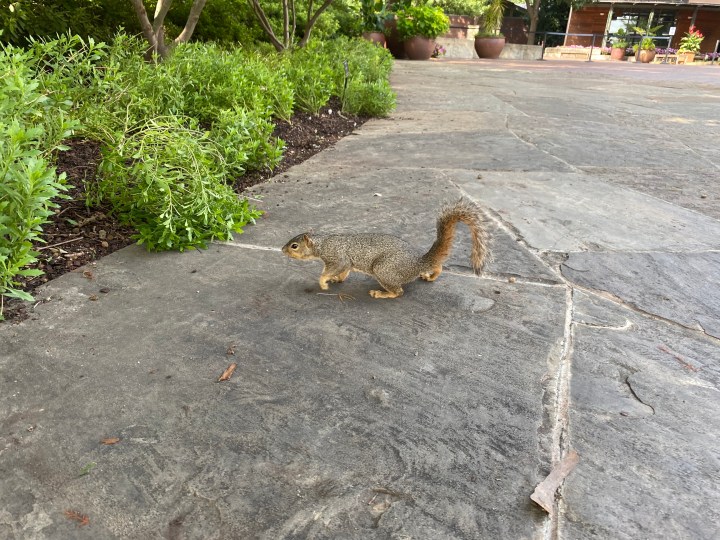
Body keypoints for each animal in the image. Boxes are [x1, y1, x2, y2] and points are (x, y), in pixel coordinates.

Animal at [281, 198, 489, 299]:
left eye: (294, 246)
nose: (282, 250)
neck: (322, 243)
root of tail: (417, 263)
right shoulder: (345, 262)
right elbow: (344, 272)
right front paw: (336, 279)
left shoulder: (336, 257)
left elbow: (334, 269)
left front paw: (324, 282)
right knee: (437, 266)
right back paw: (430, 275)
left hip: (383, 269)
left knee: (398, 293)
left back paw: (381, 293)